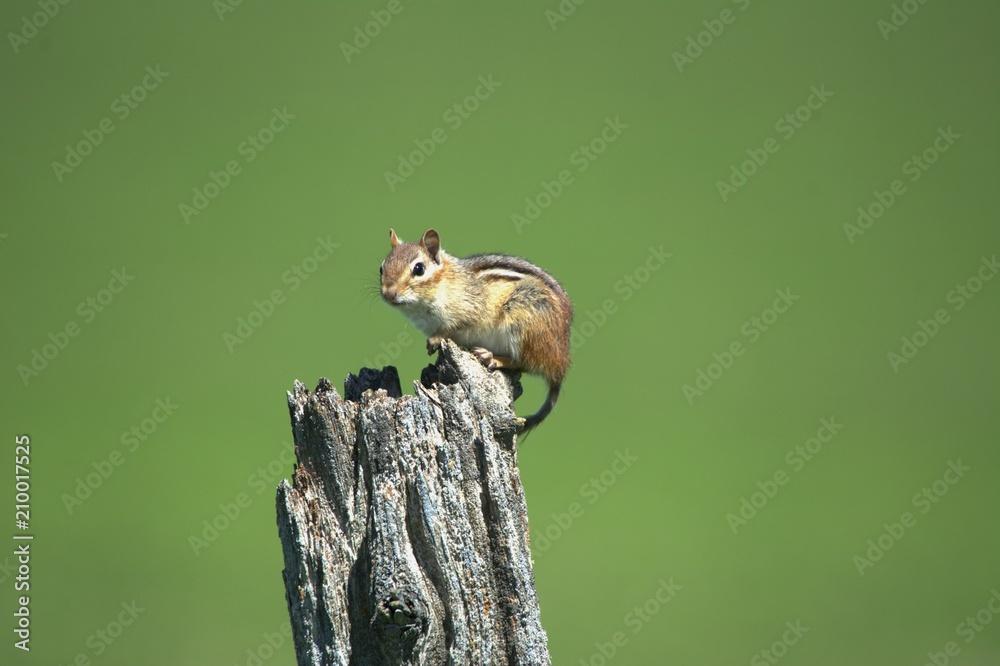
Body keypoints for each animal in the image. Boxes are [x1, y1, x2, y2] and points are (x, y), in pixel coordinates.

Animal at [379, 228, 572, 433]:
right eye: (382, 268)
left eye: (418, 269)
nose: (388, 294)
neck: (444, 281)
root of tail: (560, 364)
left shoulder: (470, 309)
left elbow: (454, 326)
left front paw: (435, 339)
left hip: (523, 320)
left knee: (523, 362)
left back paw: (491, 357)